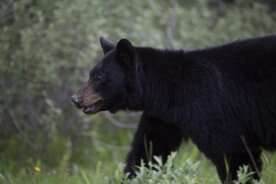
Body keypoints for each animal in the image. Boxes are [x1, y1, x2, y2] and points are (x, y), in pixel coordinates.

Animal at [71, 35, 276, 183]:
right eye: (90, 74)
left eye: (99, 77)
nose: (76, 99)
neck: (169, 92)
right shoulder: (163, 117)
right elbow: (148, 151)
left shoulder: (213, 108)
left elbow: (235, 153)